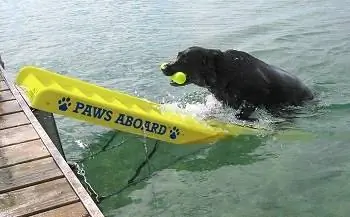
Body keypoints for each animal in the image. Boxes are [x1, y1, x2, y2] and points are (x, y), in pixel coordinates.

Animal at [160, 46, 314, 120]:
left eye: (185, 60)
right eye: (178, 55)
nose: (164, 67)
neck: (224, 71)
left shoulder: (258, 94)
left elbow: (242, 113)